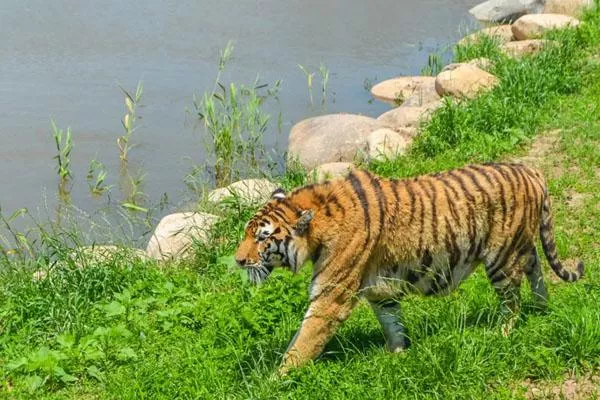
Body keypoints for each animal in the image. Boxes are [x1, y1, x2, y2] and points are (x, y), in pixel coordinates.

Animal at [233, 161, 580, 374]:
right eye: (247, 232)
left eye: (263, 237)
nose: (238, 260)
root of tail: (530, 169)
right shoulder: (380, 290)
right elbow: (392, 322)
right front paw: (398, 353)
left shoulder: (331, 296)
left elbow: (304, 340)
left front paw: (275, 379)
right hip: (520, 245)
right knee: (535, 265)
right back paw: (542, 307)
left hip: (501, 258)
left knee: (512, 299)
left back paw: (503, 332)